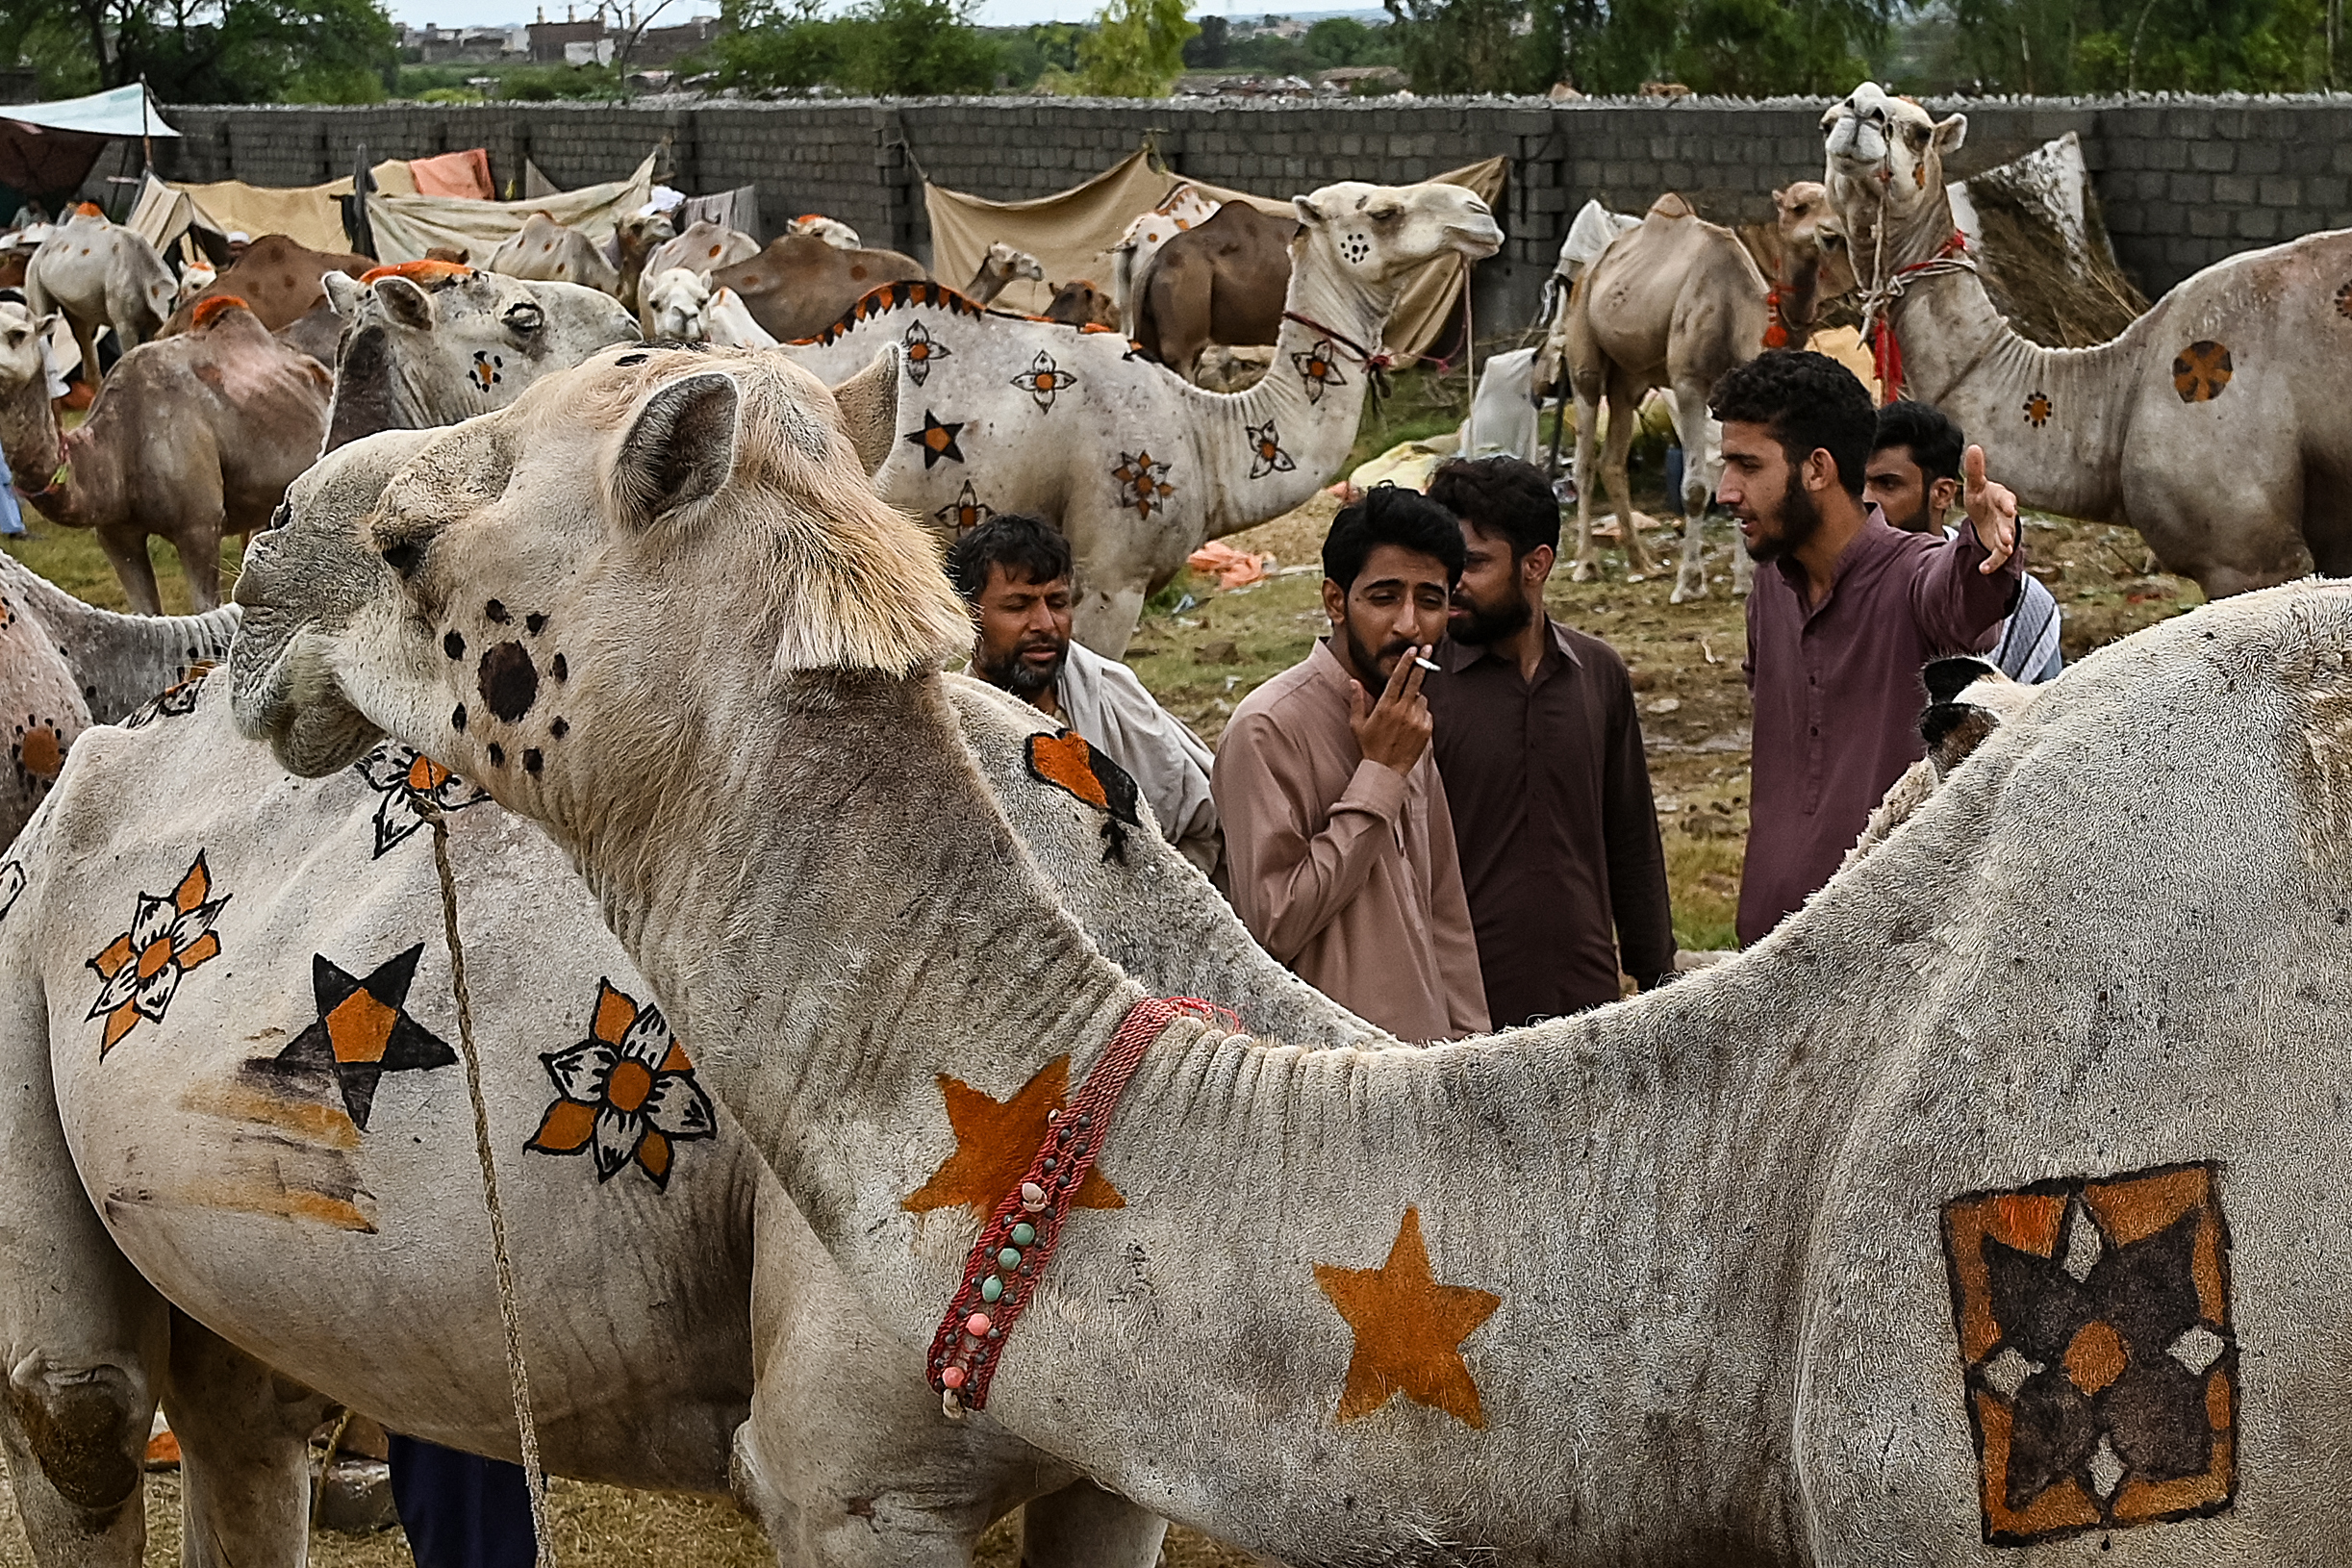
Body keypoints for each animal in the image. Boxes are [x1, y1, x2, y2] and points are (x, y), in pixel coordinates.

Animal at [23, 207, 176, 388]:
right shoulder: (125, 320)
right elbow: (129, 346)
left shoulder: (153, 317)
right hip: (34, 270)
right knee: (44, 321)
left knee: (83, 331)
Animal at [1559, 184, 1847, 601]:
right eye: (1799, 207)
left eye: (1835, 202)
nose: (1832, 233)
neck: (1738, 312)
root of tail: (1588, 269)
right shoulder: (1688, 381)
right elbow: (1695, 486)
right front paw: (1690, 582)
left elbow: (1739, 478)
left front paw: (1744, 582)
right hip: (1584, 349)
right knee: (1583, 458)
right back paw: (1587, 564)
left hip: (1629, 376)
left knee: (1612, 458)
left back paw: (1641, 563)